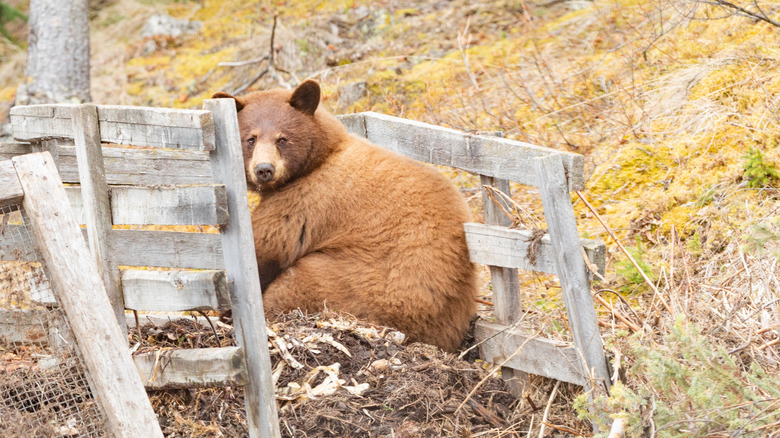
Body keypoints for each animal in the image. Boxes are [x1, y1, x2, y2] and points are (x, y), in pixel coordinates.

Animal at [212, 80, 477, 352]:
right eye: (250, 139)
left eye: (282, 139)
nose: (264, 169)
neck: (321, 157)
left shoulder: (303, 202)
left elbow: (267, 248)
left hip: (359, 285)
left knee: (298, 285)